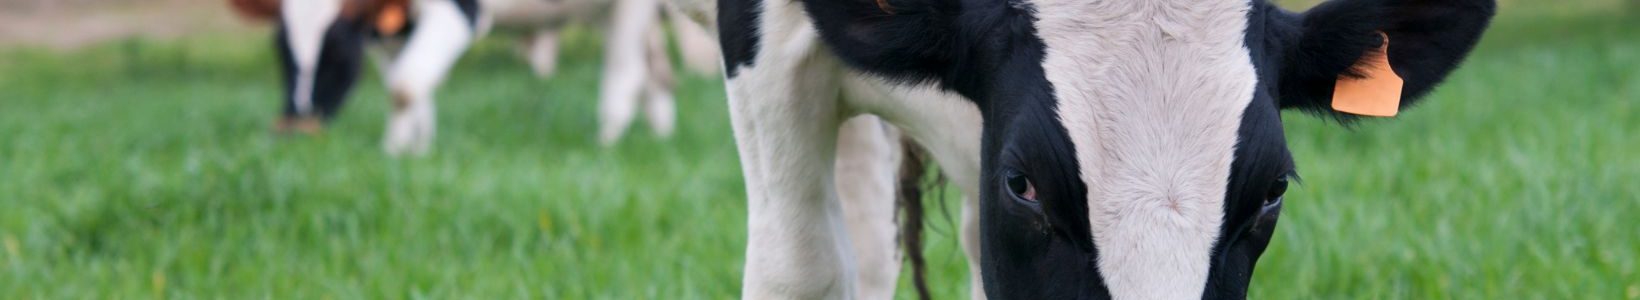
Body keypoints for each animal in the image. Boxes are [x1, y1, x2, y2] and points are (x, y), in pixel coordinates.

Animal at [231, 0, 718, 154]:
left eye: (336, 53)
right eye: (280, 52)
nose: (295, 127)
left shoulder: (458, 9)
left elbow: (405, 85)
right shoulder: (391, 31)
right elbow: (408, 86)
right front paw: (407, 151)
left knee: (625, 74)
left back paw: (606, 142)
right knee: (657, 75)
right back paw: (658, 136)